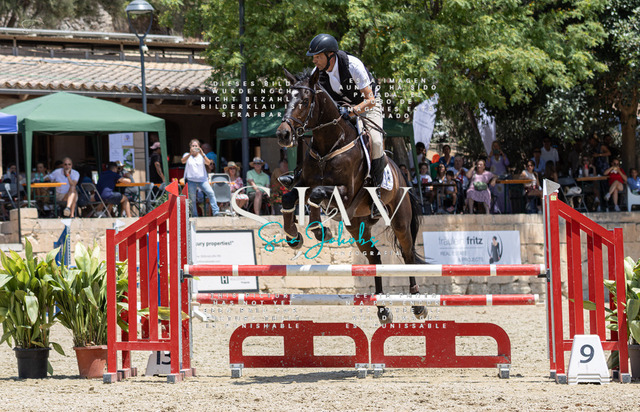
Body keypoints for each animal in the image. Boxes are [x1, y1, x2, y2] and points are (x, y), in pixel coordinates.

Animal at [275, 68, 426, 324]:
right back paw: (382, 309)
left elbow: (317, 194)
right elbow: (290, 198)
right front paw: (295, 236)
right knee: (374, 258)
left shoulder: (344, 194)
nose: (283, 135)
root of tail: (401, 173)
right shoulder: (304, 185)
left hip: (400, 220)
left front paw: (319, 230)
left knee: (407, 254)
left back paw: (418, 305)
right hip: (356, 225)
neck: (329, 145)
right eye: (287, 99)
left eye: (304, 101)